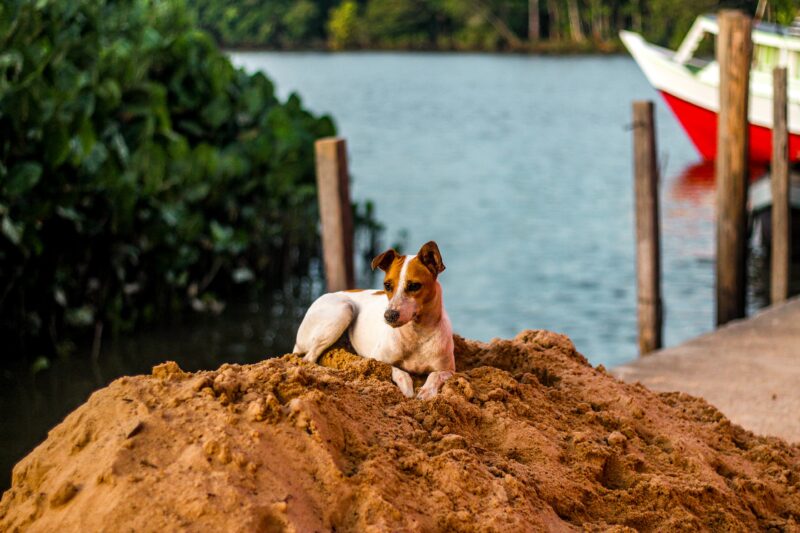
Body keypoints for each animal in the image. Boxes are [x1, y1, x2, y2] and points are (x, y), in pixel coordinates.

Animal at [294, 241, 456, 400]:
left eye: (414, 286)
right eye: (387, 285)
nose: (389, 315)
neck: (417, 334)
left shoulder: (449, 370)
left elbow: (435, 375)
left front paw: (427, 391)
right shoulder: (377, 359)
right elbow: (399, 371)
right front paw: (407, 387)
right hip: (344, 310)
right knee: (309, 358)